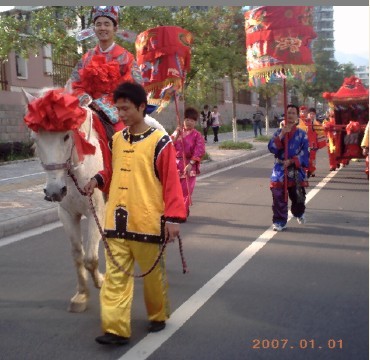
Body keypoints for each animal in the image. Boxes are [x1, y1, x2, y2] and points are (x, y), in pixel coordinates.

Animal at [23, 89, 166, 312]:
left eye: (66, 136)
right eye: (35, 138)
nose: (54, 191)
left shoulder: (95, 211)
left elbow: (90, 258)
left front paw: (100, 280)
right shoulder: (67, 214)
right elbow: (77, 255)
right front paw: (81, 295)